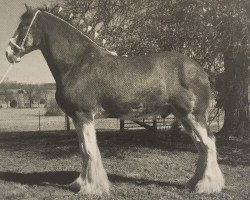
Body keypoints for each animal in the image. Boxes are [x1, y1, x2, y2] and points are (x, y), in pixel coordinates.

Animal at [5, 4, 225, 195]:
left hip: (194, 115)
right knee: (201, 146)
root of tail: (200, 71)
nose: (9, 53)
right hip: (184, 118)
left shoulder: (84, 115)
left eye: (24, 25)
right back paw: (194, 183)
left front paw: (90, 188)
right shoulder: (77, 118)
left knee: (208, 143)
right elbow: (84, 150)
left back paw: (207, 186)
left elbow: (89, 151)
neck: (78, 62)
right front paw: (81, 183)